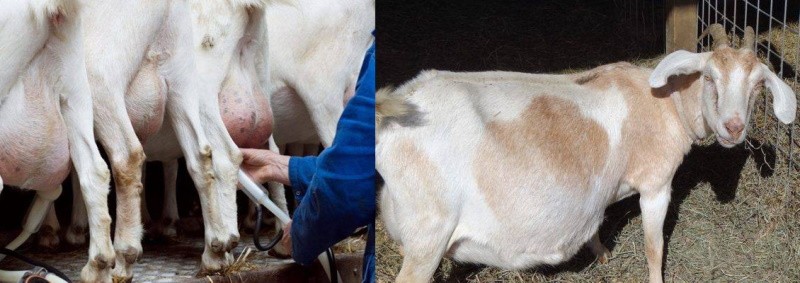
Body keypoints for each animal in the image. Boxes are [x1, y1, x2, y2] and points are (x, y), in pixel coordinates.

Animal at [376, 25, 792, 283]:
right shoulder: (656, 184)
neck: (665, 103)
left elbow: (598, 217)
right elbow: (654, 246)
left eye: (759, 85)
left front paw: (601, 252)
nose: (733, 128)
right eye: (709, 77)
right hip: (428, 232)